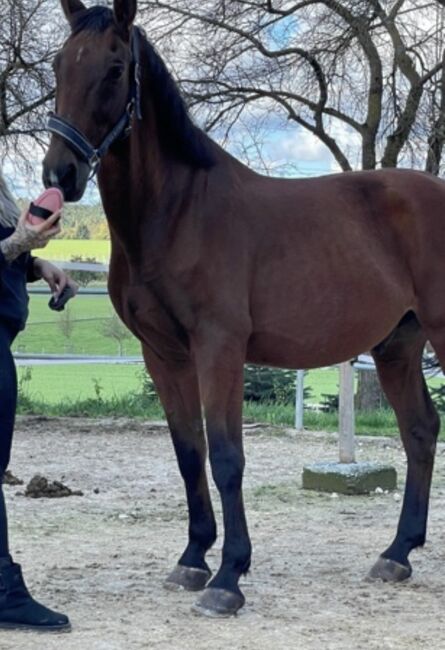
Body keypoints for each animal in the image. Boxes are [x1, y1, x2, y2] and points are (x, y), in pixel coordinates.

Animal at [43, 0, 442, 616]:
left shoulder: (220, 348)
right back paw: (396, 554)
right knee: (420, 429)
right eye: (59, 65)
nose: (60, 174)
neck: (178, 212)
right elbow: (190, 453)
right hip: (398, 345)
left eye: (114, 69)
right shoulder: (164, 355)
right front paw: (192, 560)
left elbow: (228, 457)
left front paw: (228, 578)